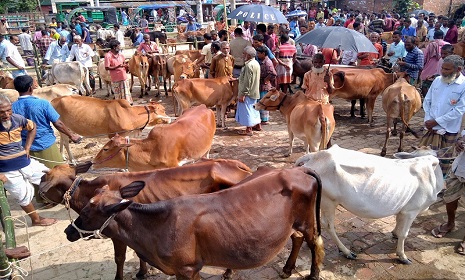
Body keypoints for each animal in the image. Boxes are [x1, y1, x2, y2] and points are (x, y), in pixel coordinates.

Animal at [38, 160, 252, 280]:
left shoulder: (117, 235)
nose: (41, 198)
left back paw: (228, 272)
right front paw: (143, 272)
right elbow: (138, 254)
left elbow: (120, 258)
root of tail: (237, 165)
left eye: (44, 179)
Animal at [65, 166, 324, 280]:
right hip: (293, 224)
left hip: (308, 221)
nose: (68, 231)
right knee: (297, 239)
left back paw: (313, 275)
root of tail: (299, 169)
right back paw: (287, 269)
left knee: (315, 243)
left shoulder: (187, 268)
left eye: (86, 212)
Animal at [294, 145, 442, 266]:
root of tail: (316, 155)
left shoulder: (403, 210)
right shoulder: (411, 211)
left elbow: (398, 224)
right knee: (328, 225)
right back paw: (346, 251)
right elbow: (404, 234)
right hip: (328, 201)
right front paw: (402, 256)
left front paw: (394, 234)